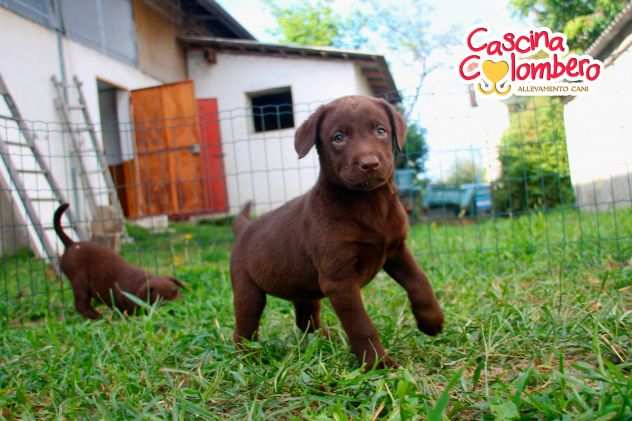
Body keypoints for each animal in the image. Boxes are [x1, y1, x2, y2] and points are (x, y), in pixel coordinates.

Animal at [53, 203, 184, 318]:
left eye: (176, 292)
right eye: (161, 302)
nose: (178, 309)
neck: (142, 280)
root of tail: (71, 244)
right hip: (79, 281)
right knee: (81, 304)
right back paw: (97, 317)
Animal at [230, 96, 442, 368]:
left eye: (380, 130)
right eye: (338, 137)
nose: (369, 164)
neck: (369, 203)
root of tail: (245, 227)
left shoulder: (396, 250)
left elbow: (419, 281)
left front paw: (432, 321)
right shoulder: (339, 281)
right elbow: (361, 325)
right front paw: (378, 363)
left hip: (304, 287)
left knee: (305, 319)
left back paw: (326, 339)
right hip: (247, 289)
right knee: (244, 326)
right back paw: (249, 357)